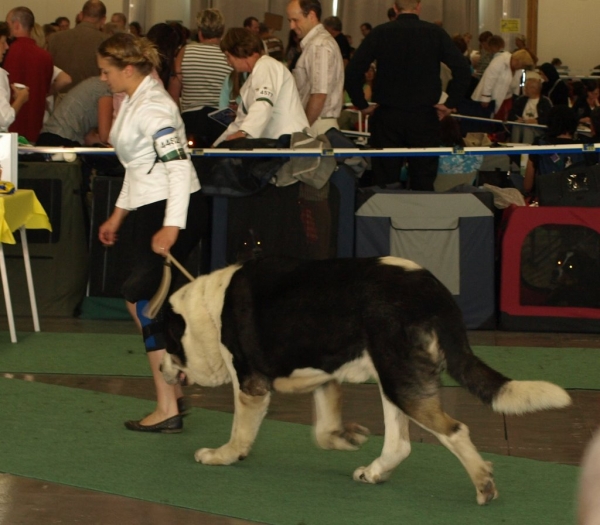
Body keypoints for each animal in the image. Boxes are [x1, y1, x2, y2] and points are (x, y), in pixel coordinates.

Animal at [161, 256, 572, 506]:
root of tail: (434, 293)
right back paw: (375, 472)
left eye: (167, 344)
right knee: (400, 445)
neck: (206, 312)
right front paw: (348, 437)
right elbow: (323, 432)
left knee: (454, 431)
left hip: (400, 381)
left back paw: (483, 483)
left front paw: (222, 455)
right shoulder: (323, 376)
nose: (163, 371)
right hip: (392, 378)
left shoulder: (250, 386)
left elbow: (239, 433)